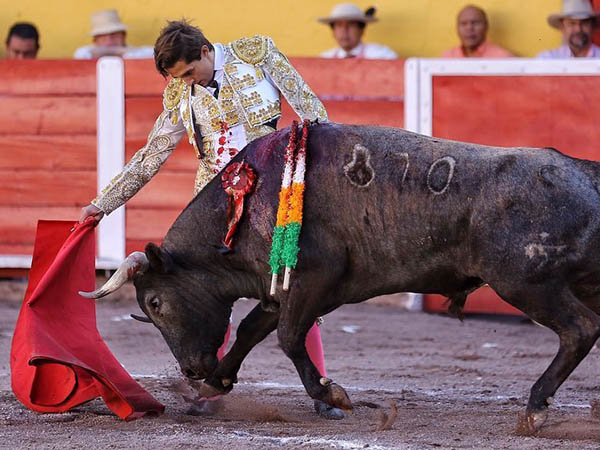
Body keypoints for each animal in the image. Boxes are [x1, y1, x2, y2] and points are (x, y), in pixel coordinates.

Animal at [82, 123, 600, 432]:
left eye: (155, 304)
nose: (191, 370)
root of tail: (584, 172)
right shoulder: (278, 288)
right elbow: (249, 331)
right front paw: (214, 385)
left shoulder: (313, 280)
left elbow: (288, 337)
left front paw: (332, 394)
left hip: (526, 285)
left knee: (580, 329)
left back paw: (535, 408)